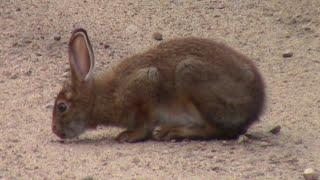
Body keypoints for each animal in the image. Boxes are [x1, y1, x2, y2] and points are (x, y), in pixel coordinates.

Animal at [51, 28, 264, 143]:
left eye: (62, 107)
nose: (55, 130)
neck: (100, 97)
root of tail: (256, 104)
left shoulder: (144, 85)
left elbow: (145, 124)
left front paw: (128, 136)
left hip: (190, 75)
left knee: (218, 130)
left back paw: (171, 132)